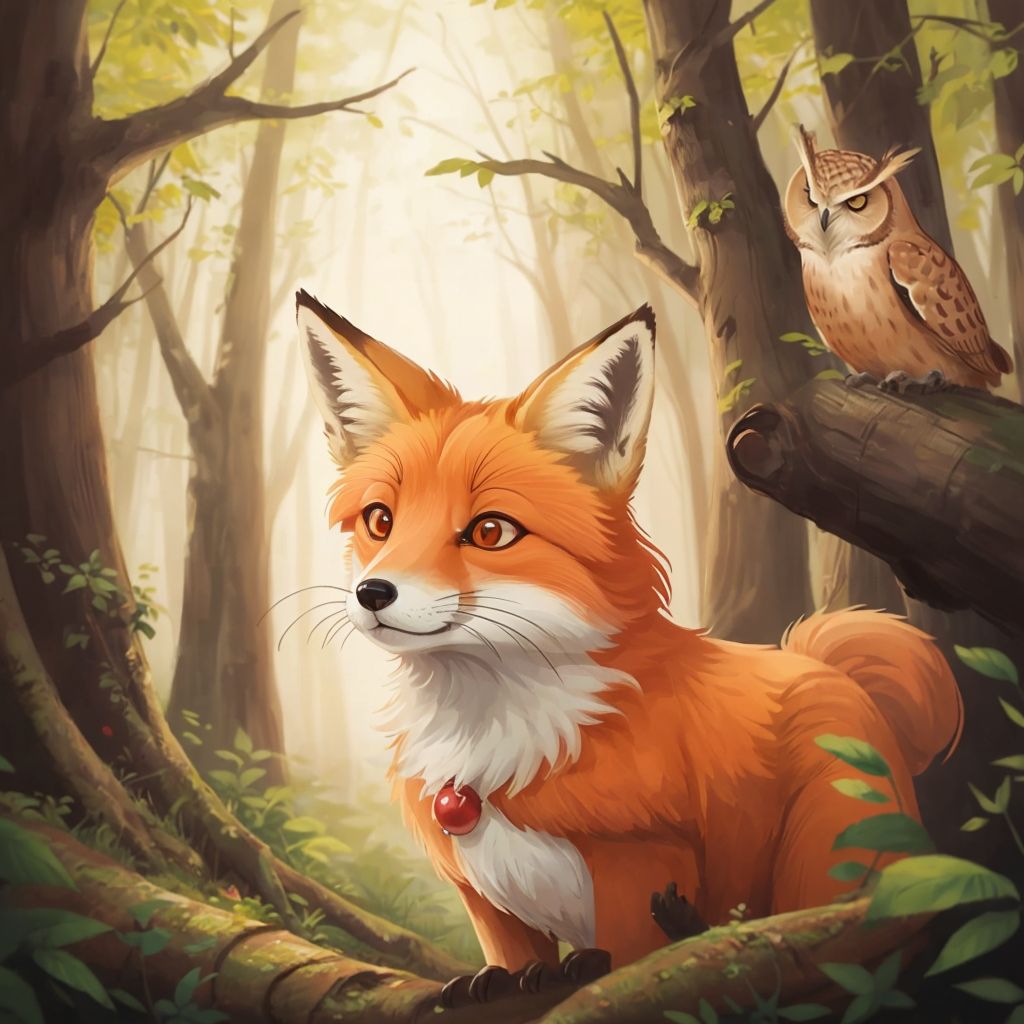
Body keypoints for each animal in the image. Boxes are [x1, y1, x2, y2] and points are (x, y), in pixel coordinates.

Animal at [295, 290, 962, 989]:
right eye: (380, 520)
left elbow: (630, 959)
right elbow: (510, 959)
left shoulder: (642, 862)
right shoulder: (485, 897)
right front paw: (500, 983)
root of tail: (827, 663)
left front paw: (587, 972)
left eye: (489, 532)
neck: (496, 741)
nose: (373, 593)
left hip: (825, 856)